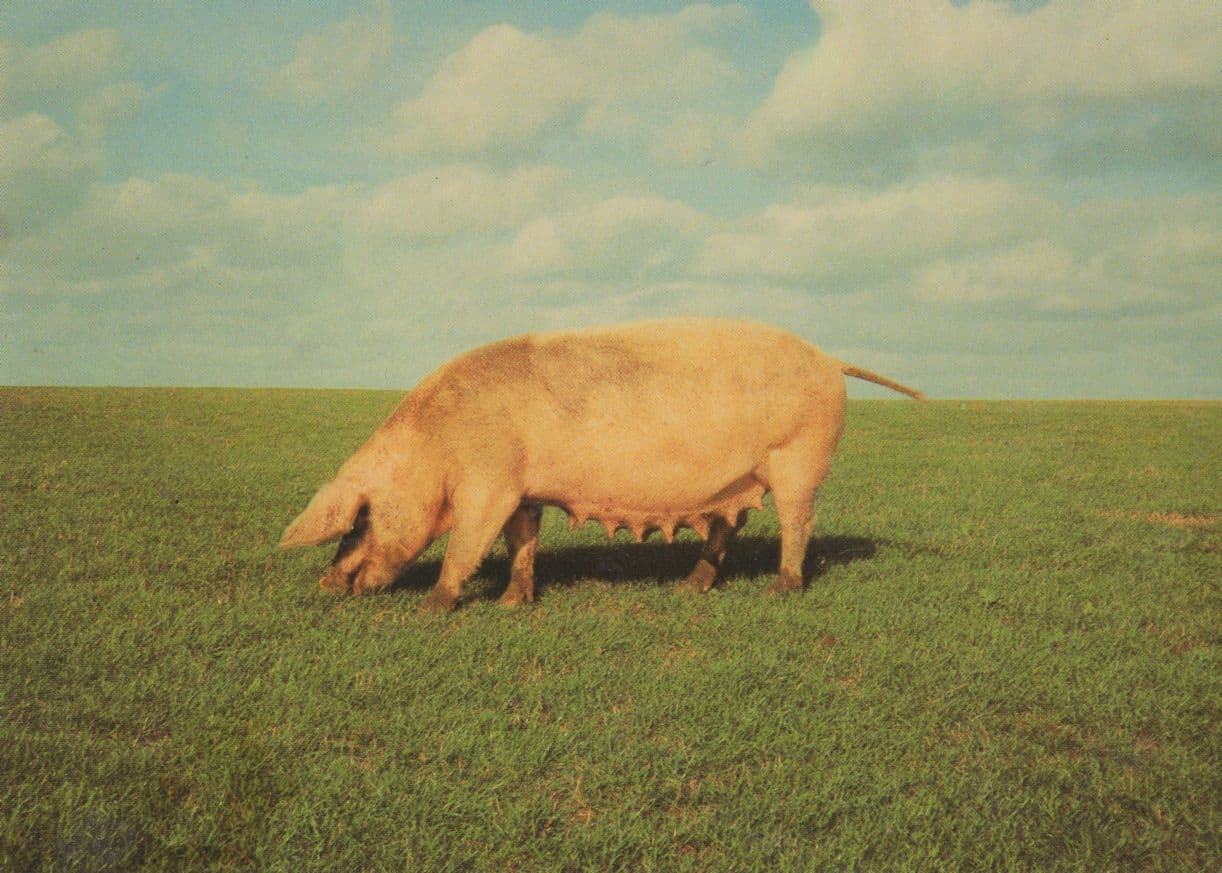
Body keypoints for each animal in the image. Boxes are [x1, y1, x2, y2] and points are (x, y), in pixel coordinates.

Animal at [279, 318, 923, 612]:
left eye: (361, 518)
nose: (327, 582)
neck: (438, 446)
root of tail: (830, 359)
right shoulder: (524, 489)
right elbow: (522, 541)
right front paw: (513, 603)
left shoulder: (491, 482)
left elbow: (468, 542)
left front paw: (433, 607)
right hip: (741, 478)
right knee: (728, 526)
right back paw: (691, 587)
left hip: (800, 457)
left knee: (798, 521)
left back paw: (781, 589)